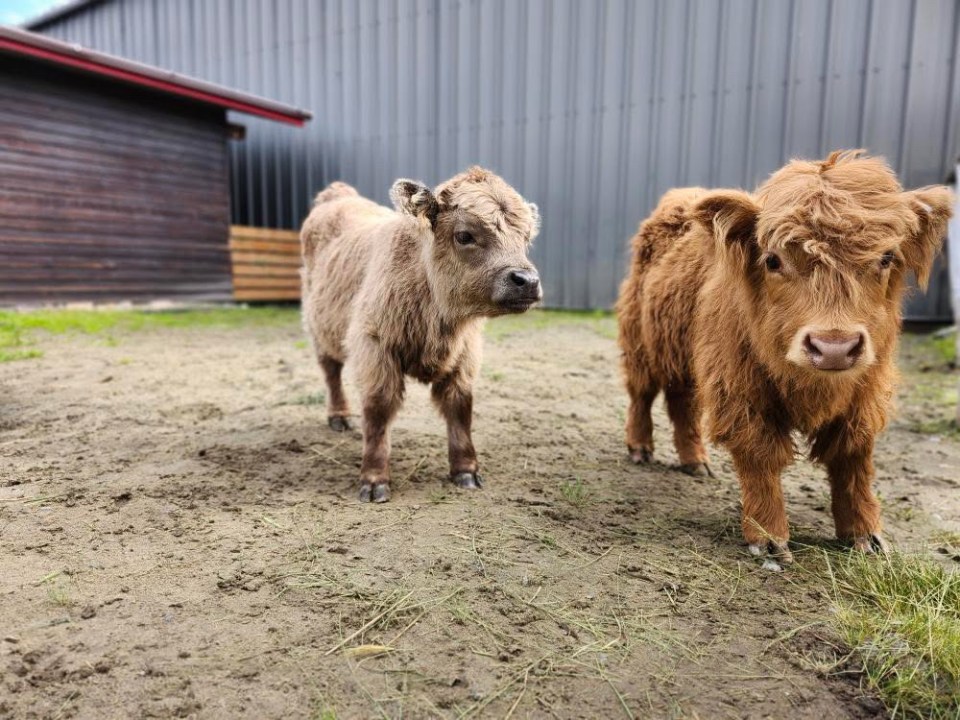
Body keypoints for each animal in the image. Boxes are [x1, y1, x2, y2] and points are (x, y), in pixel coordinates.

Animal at [300, 167, 542, 502]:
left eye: (526, 237)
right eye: (464, 235)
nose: (527, 281)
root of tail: (338, 196)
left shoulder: (464, 356)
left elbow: (460, 408)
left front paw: (466, 470)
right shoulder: (375, 347)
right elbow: (378, 410)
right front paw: (374, 479)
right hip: (319, 328)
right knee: (331, 371)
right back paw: (339, 415)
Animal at [616, 150, 952, 566]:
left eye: (887, 257)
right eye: (773, 260)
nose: (834, 346)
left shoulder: (864, 397)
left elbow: (853, 460)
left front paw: (866, 535)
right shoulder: (741, 392)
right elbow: (760, 457)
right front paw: (769, 537)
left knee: (683, 403)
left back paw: (694, 460)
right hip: (643, 341)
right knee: (642, 394)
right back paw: (640, 448)